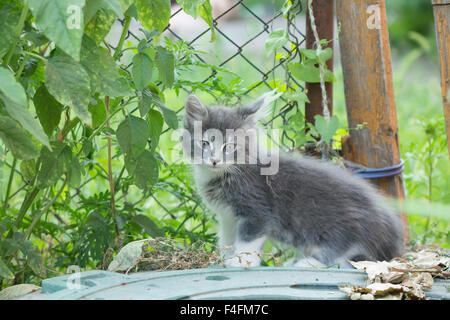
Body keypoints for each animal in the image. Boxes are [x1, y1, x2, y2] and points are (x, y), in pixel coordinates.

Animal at [183, 94, 404, 268]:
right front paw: (225, 260)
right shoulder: (228, 216)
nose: (214, 161)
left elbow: (247, 243)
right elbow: (227, 240)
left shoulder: (257, 211)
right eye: (204, 143)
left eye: (230, 146)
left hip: (343, 230)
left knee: (346, 259)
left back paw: (306, 263)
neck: (227, 172)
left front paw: (240, 263)